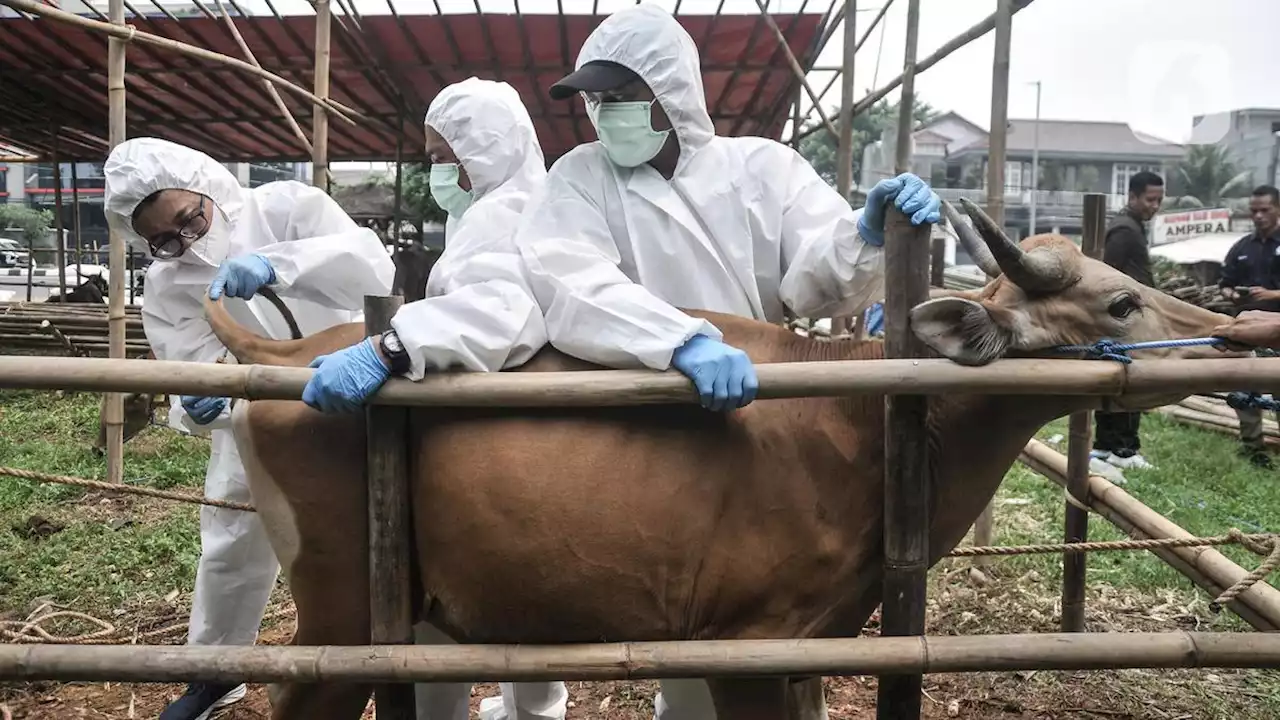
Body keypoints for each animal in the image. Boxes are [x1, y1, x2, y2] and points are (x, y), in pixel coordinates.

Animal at [209, 199, 1239, 717]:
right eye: (1120, 303)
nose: (1231, 330)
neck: (872, 416)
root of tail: (289, 353)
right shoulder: (747, 644)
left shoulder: (817, 643)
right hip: (341, 616)